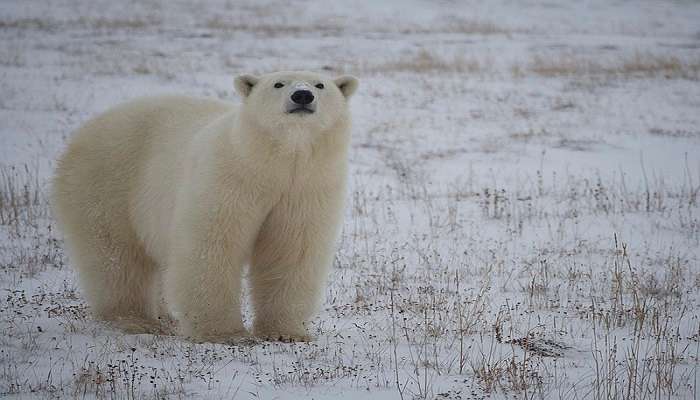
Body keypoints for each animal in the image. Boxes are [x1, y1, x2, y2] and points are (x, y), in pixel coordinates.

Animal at [52, 70, 358, 342]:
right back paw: (134, 319)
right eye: (278, 83)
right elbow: (212, 248)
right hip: (107, 180)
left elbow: (291, 252)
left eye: (320, 84)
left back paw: (163, 316)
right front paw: (226, 334)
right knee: (117, 257)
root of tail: (87, 128)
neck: (272, 161)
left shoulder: (304, 189)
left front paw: (287, 332)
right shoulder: (229, 178)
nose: (302, 95)